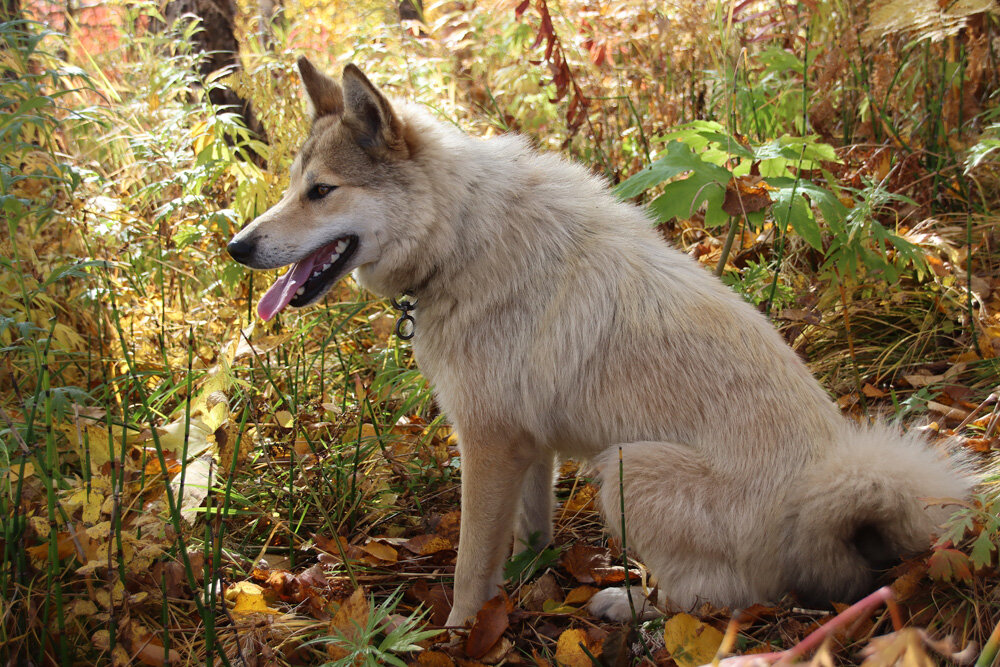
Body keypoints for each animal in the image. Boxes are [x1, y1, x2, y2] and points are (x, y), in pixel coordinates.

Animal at [229, 57, 976, 628]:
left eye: (321, 191)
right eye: (293, 187)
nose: (237, 247)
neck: (459, 233)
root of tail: (821, 511)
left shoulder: (488, 442)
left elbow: (470, 563)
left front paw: (459, 632)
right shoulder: (528, 446)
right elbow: (528, 532)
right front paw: (527, 583)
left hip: (626, 465)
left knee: (725, 596)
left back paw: (629, 603)